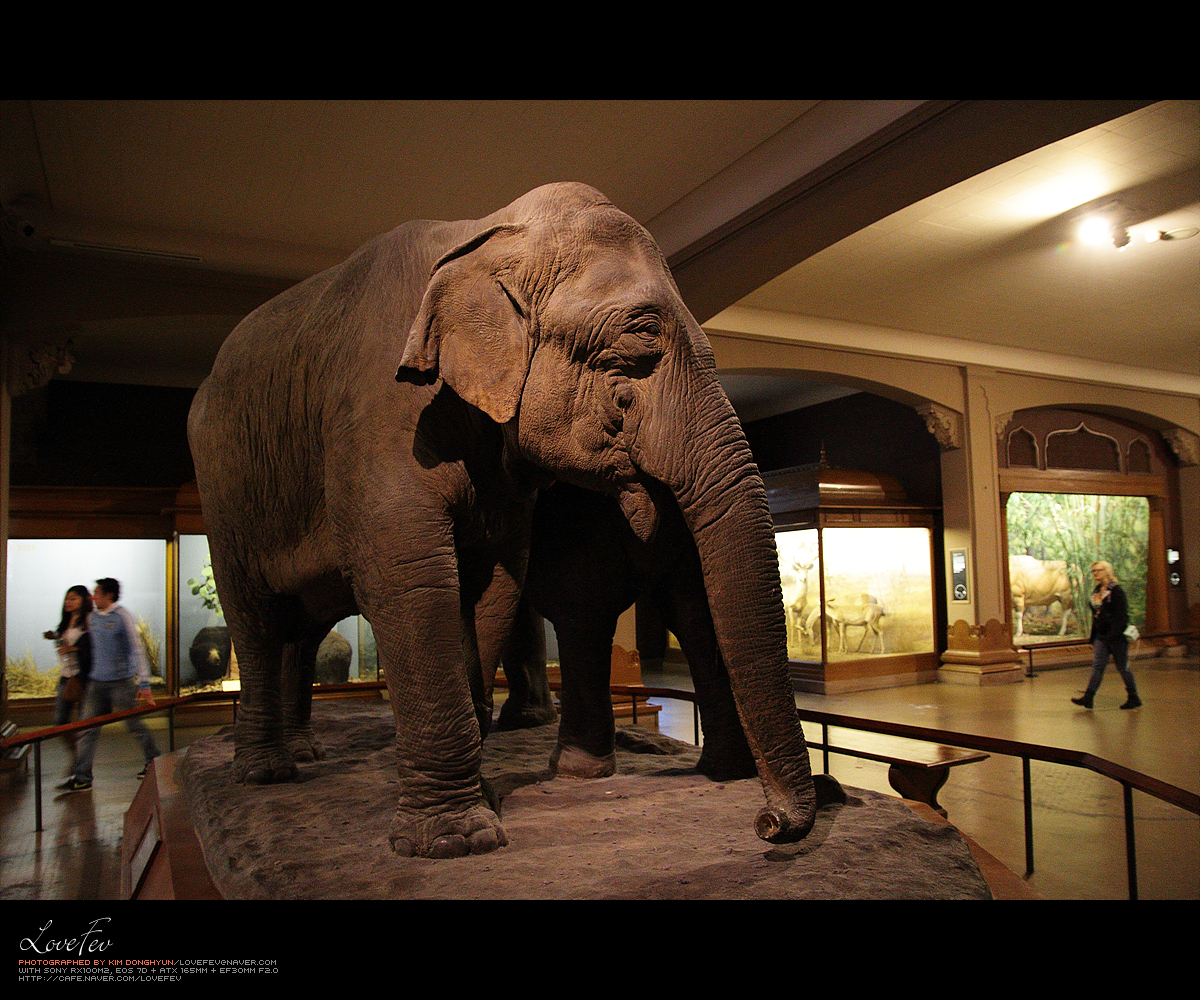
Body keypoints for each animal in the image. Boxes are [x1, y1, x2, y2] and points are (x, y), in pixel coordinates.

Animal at [187, 181, 820, 859]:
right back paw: (267, 772)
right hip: (223, 490)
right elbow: (410, 576)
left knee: (303, 628)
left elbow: (498, 583)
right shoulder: (379, 414)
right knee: (255, 617)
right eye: (639, 340)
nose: (768, 825)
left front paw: (484, 794)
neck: (488, 233)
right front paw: (456, 841)